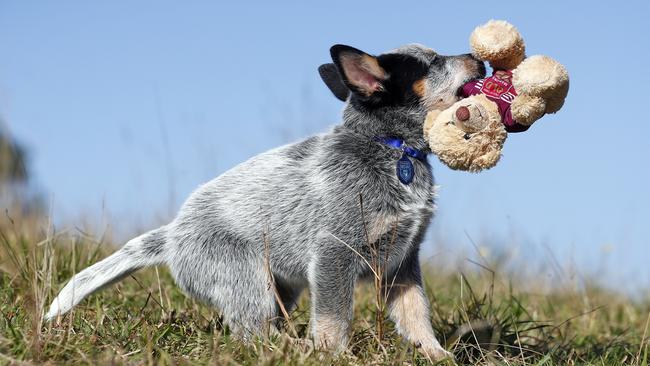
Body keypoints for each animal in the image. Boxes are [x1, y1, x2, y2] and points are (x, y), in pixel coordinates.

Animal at [45, 43, 484, 360]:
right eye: (433, 62)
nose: (478, 57)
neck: (391, 149)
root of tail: (171, 235)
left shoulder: (402, 261)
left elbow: (416, 314)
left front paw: (436, 354)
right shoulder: (334, 254)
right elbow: (333, 318)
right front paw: (334, 355)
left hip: (280, 287)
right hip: (249, 278)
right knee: (252, 332)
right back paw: (299, 347)